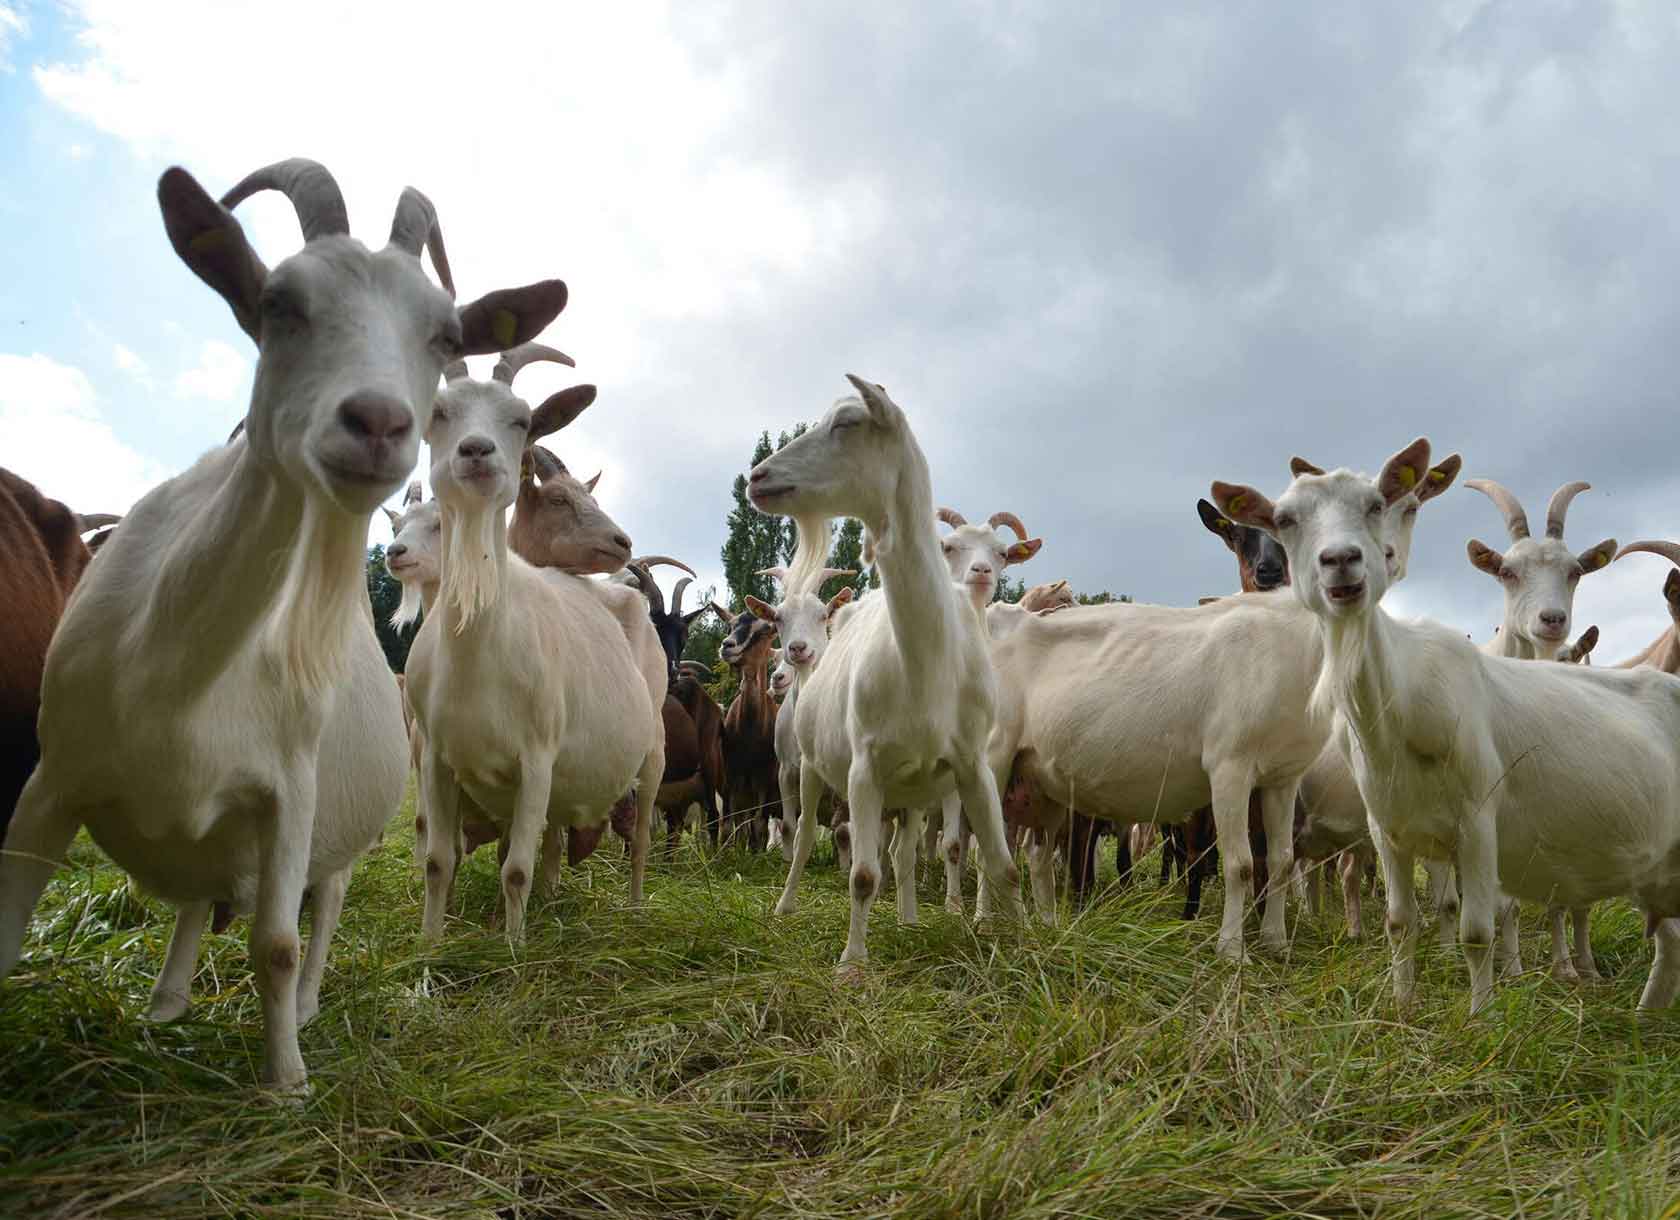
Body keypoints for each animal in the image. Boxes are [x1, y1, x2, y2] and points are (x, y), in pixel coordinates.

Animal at [0, 160, 571, 1088]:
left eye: (444, 333)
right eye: (277, 302)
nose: (378, 422)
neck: (180, 672)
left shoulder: (291, 789)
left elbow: (275, 944)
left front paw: (288, 1084)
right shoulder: (52, 779)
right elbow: (9, 934)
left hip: (338, 826)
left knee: (323, 904)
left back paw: (301, 1007)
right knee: (196, 902)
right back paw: (165, 1008)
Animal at [404, 329, 661, 941]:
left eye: (519, 419)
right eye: (439, 412)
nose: (476, 451)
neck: (477, 654)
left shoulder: (537, 760)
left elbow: (513, 868)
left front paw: (513, 947)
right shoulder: (437, 761)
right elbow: (438, 859)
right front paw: (429, 943)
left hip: (654, 751)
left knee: (640, 836)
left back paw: (634, 907)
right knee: (556, 836)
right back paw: (550, 896)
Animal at [749, 373, 1021, 967]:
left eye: (848, 422)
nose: (757, 477)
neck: (927, 664)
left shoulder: (972, 764)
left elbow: (1001, 864)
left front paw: (1023, 942)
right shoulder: (863, 769)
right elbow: (862, 875)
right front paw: (852, 964)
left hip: (914, 790)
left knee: (903, 851)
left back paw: (910, 919)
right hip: (809, 766)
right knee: (802, 836)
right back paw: (785, 906)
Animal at [1216, 440, 1680, 1014]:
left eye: (1376, 504)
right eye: (1285, 519)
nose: (1341, 561)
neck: (1403, 704)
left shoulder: (1479, 824)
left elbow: (1477, 929)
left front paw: (1483, 1015)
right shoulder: (1387, 830)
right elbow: (1398, 922)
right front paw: (1402, 1007)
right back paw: (1647, 1014)